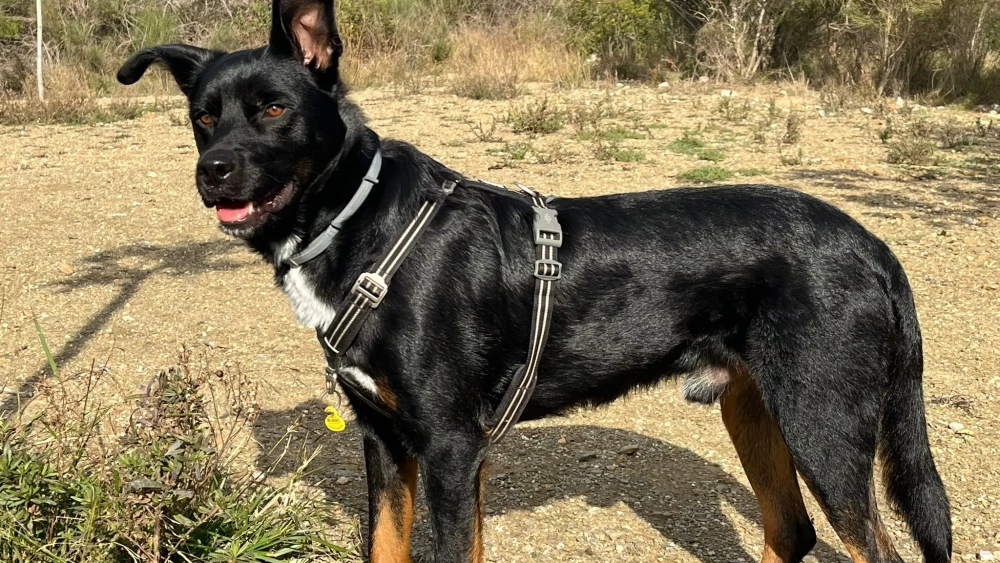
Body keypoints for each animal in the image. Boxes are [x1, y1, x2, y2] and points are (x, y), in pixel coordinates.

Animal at [117, 1, 952, 562]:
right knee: (792, 530)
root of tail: (872, 244)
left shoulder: (452, 448)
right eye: (202, 116)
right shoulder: (389, 444)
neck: (362, 223)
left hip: (823, 425)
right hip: (756, 408)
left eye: (274, 107)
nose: (211, 170)